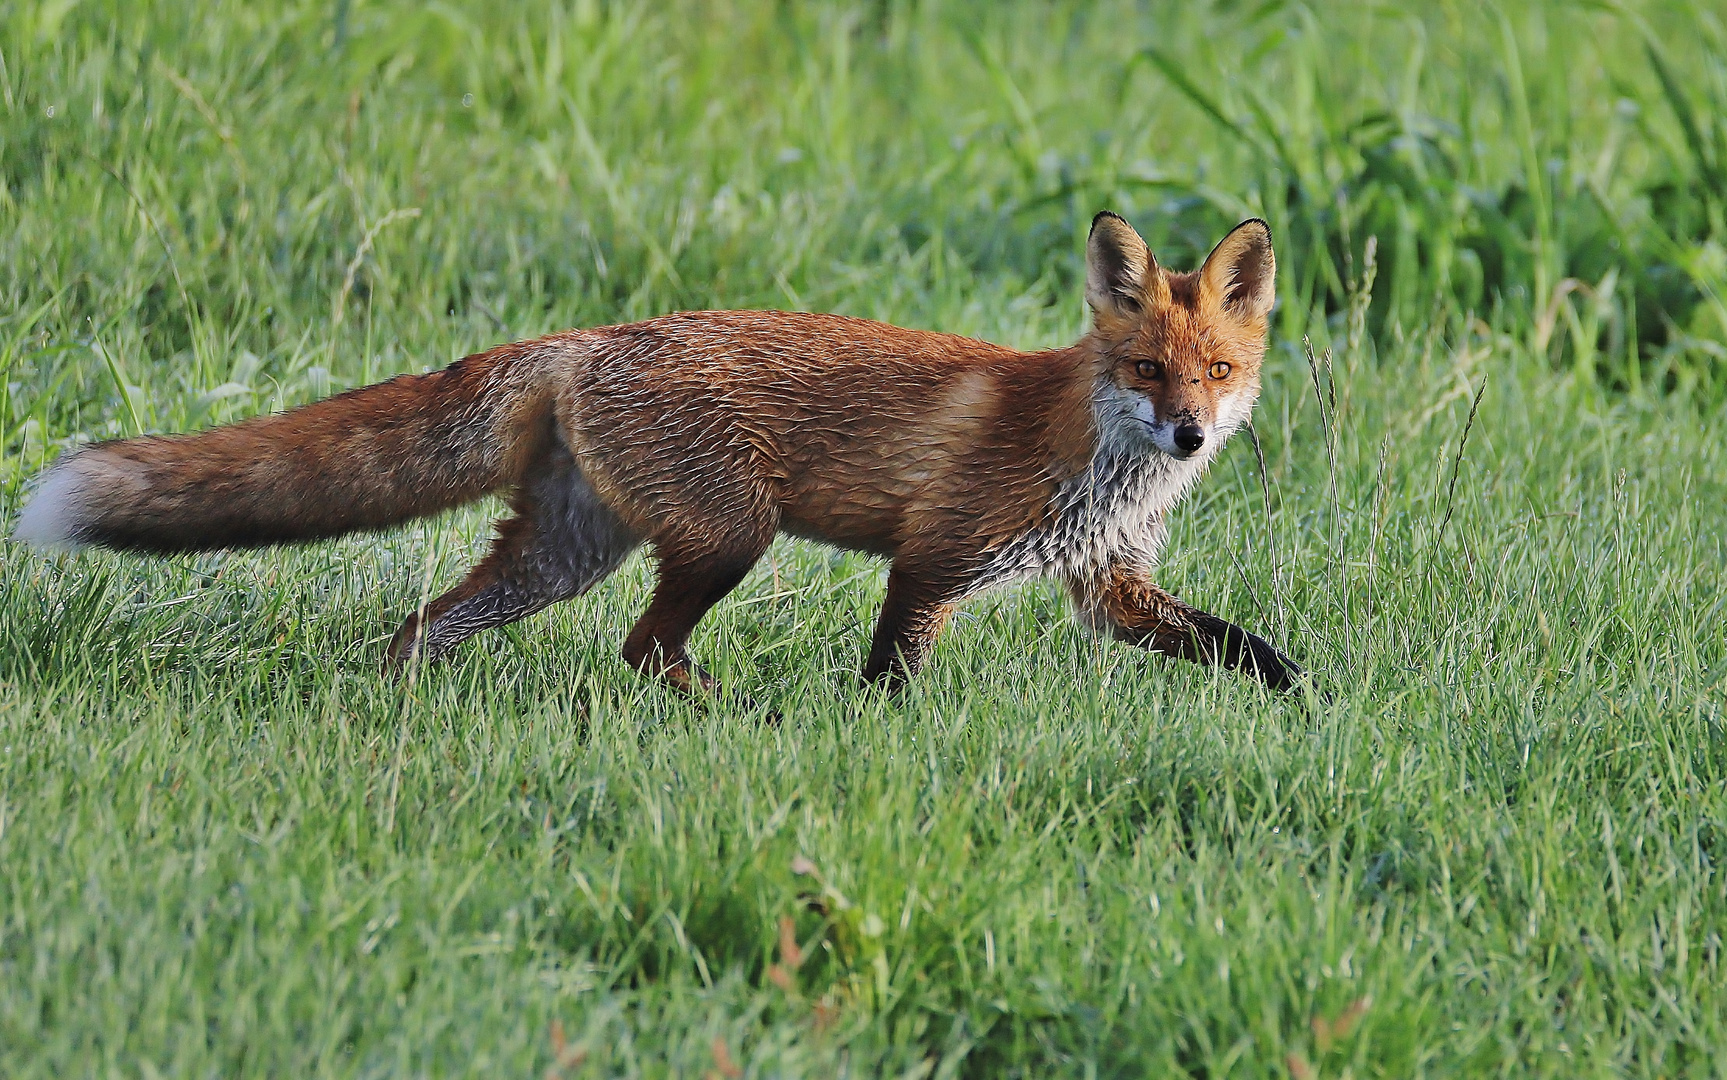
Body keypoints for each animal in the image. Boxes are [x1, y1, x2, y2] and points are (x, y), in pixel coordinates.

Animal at [13, 215, 1298, 694]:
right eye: (1146, 370)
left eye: (1216, 371)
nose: (1189, 432)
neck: (1096, 461)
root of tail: (587, 337)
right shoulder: (934, 556)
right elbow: (890, 677)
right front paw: (885, 738)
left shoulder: (1108, 583)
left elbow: (1237, 647)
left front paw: (1303, 697)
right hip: (728, 535)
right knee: (641, 648)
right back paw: (725, 716)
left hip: (561, 556)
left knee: (426, 626)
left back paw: (391, 707)